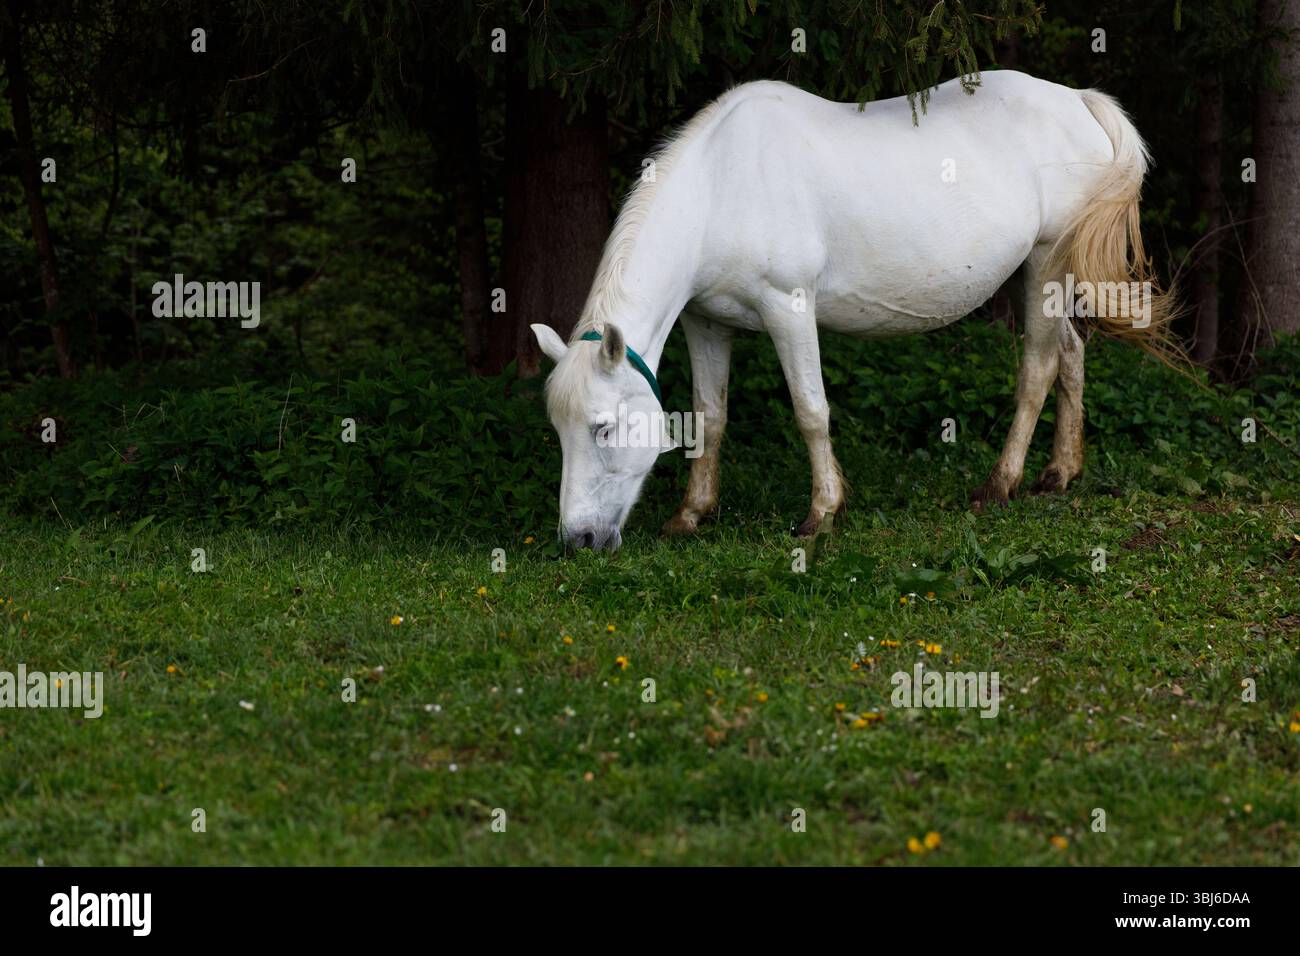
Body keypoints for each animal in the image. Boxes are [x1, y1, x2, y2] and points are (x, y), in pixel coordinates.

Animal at [531, 70, 1176, 551]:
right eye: (559, 431)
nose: (579, 540)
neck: (719, 189)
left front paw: (822, 513)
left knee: (1038, 367)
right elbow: (709, 418)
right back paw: (1060, 473)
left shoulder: (789, 308)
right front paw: (692, 514)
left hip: (1045, 263)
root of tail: (1078, 100)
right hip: (1042, 275)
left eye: (603, 427)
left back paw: (1000, 484)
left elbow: (811, 410)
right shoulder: (707, 323)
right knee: (1070, 353)